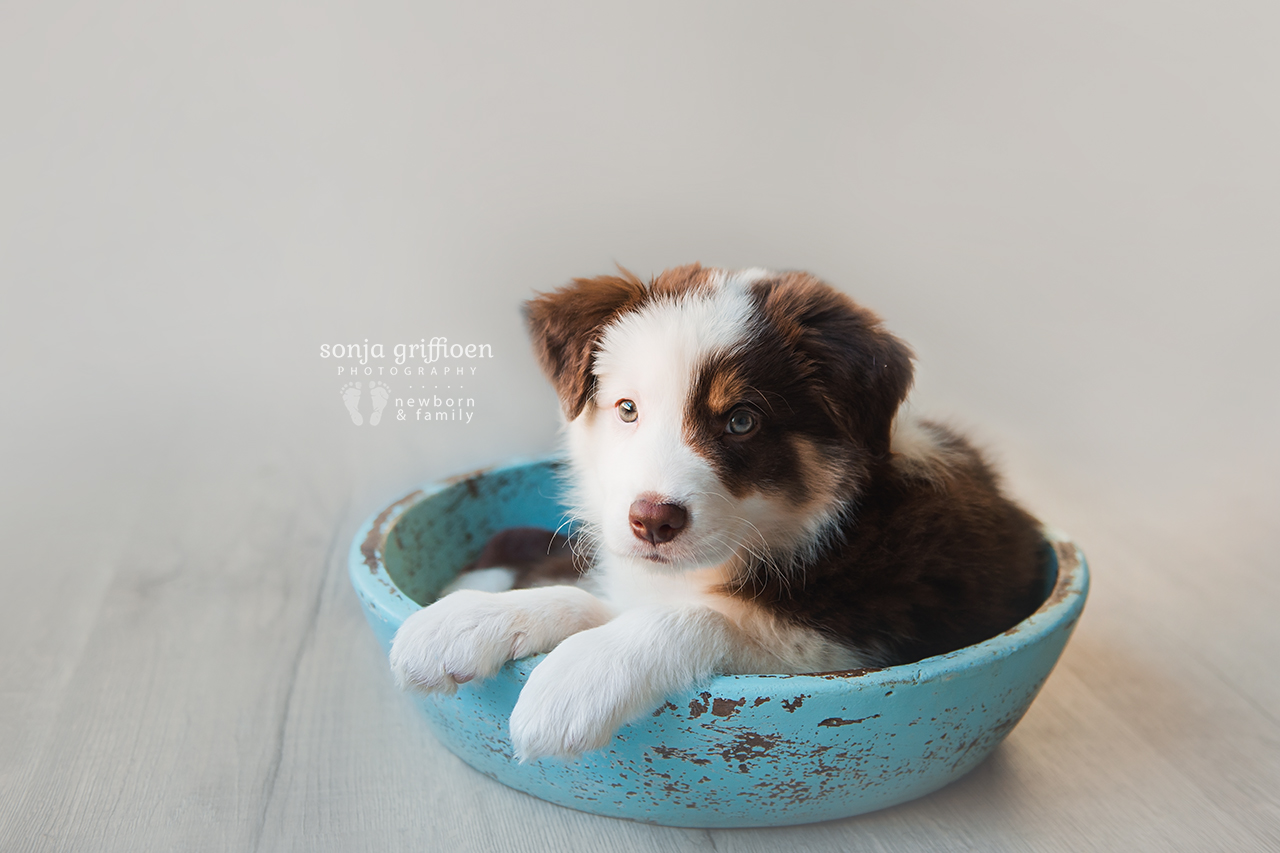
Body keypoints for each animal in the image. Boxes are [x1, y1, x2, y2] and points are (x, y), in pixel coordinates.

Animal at [384, 263, 1044, 758]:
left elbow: (703, 616)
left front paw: (579, 678)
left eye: (742, 421)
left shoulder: (865, 638)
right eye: (628, 410)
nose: (652, 521)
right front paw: (465, 622)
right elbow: (583, 597)